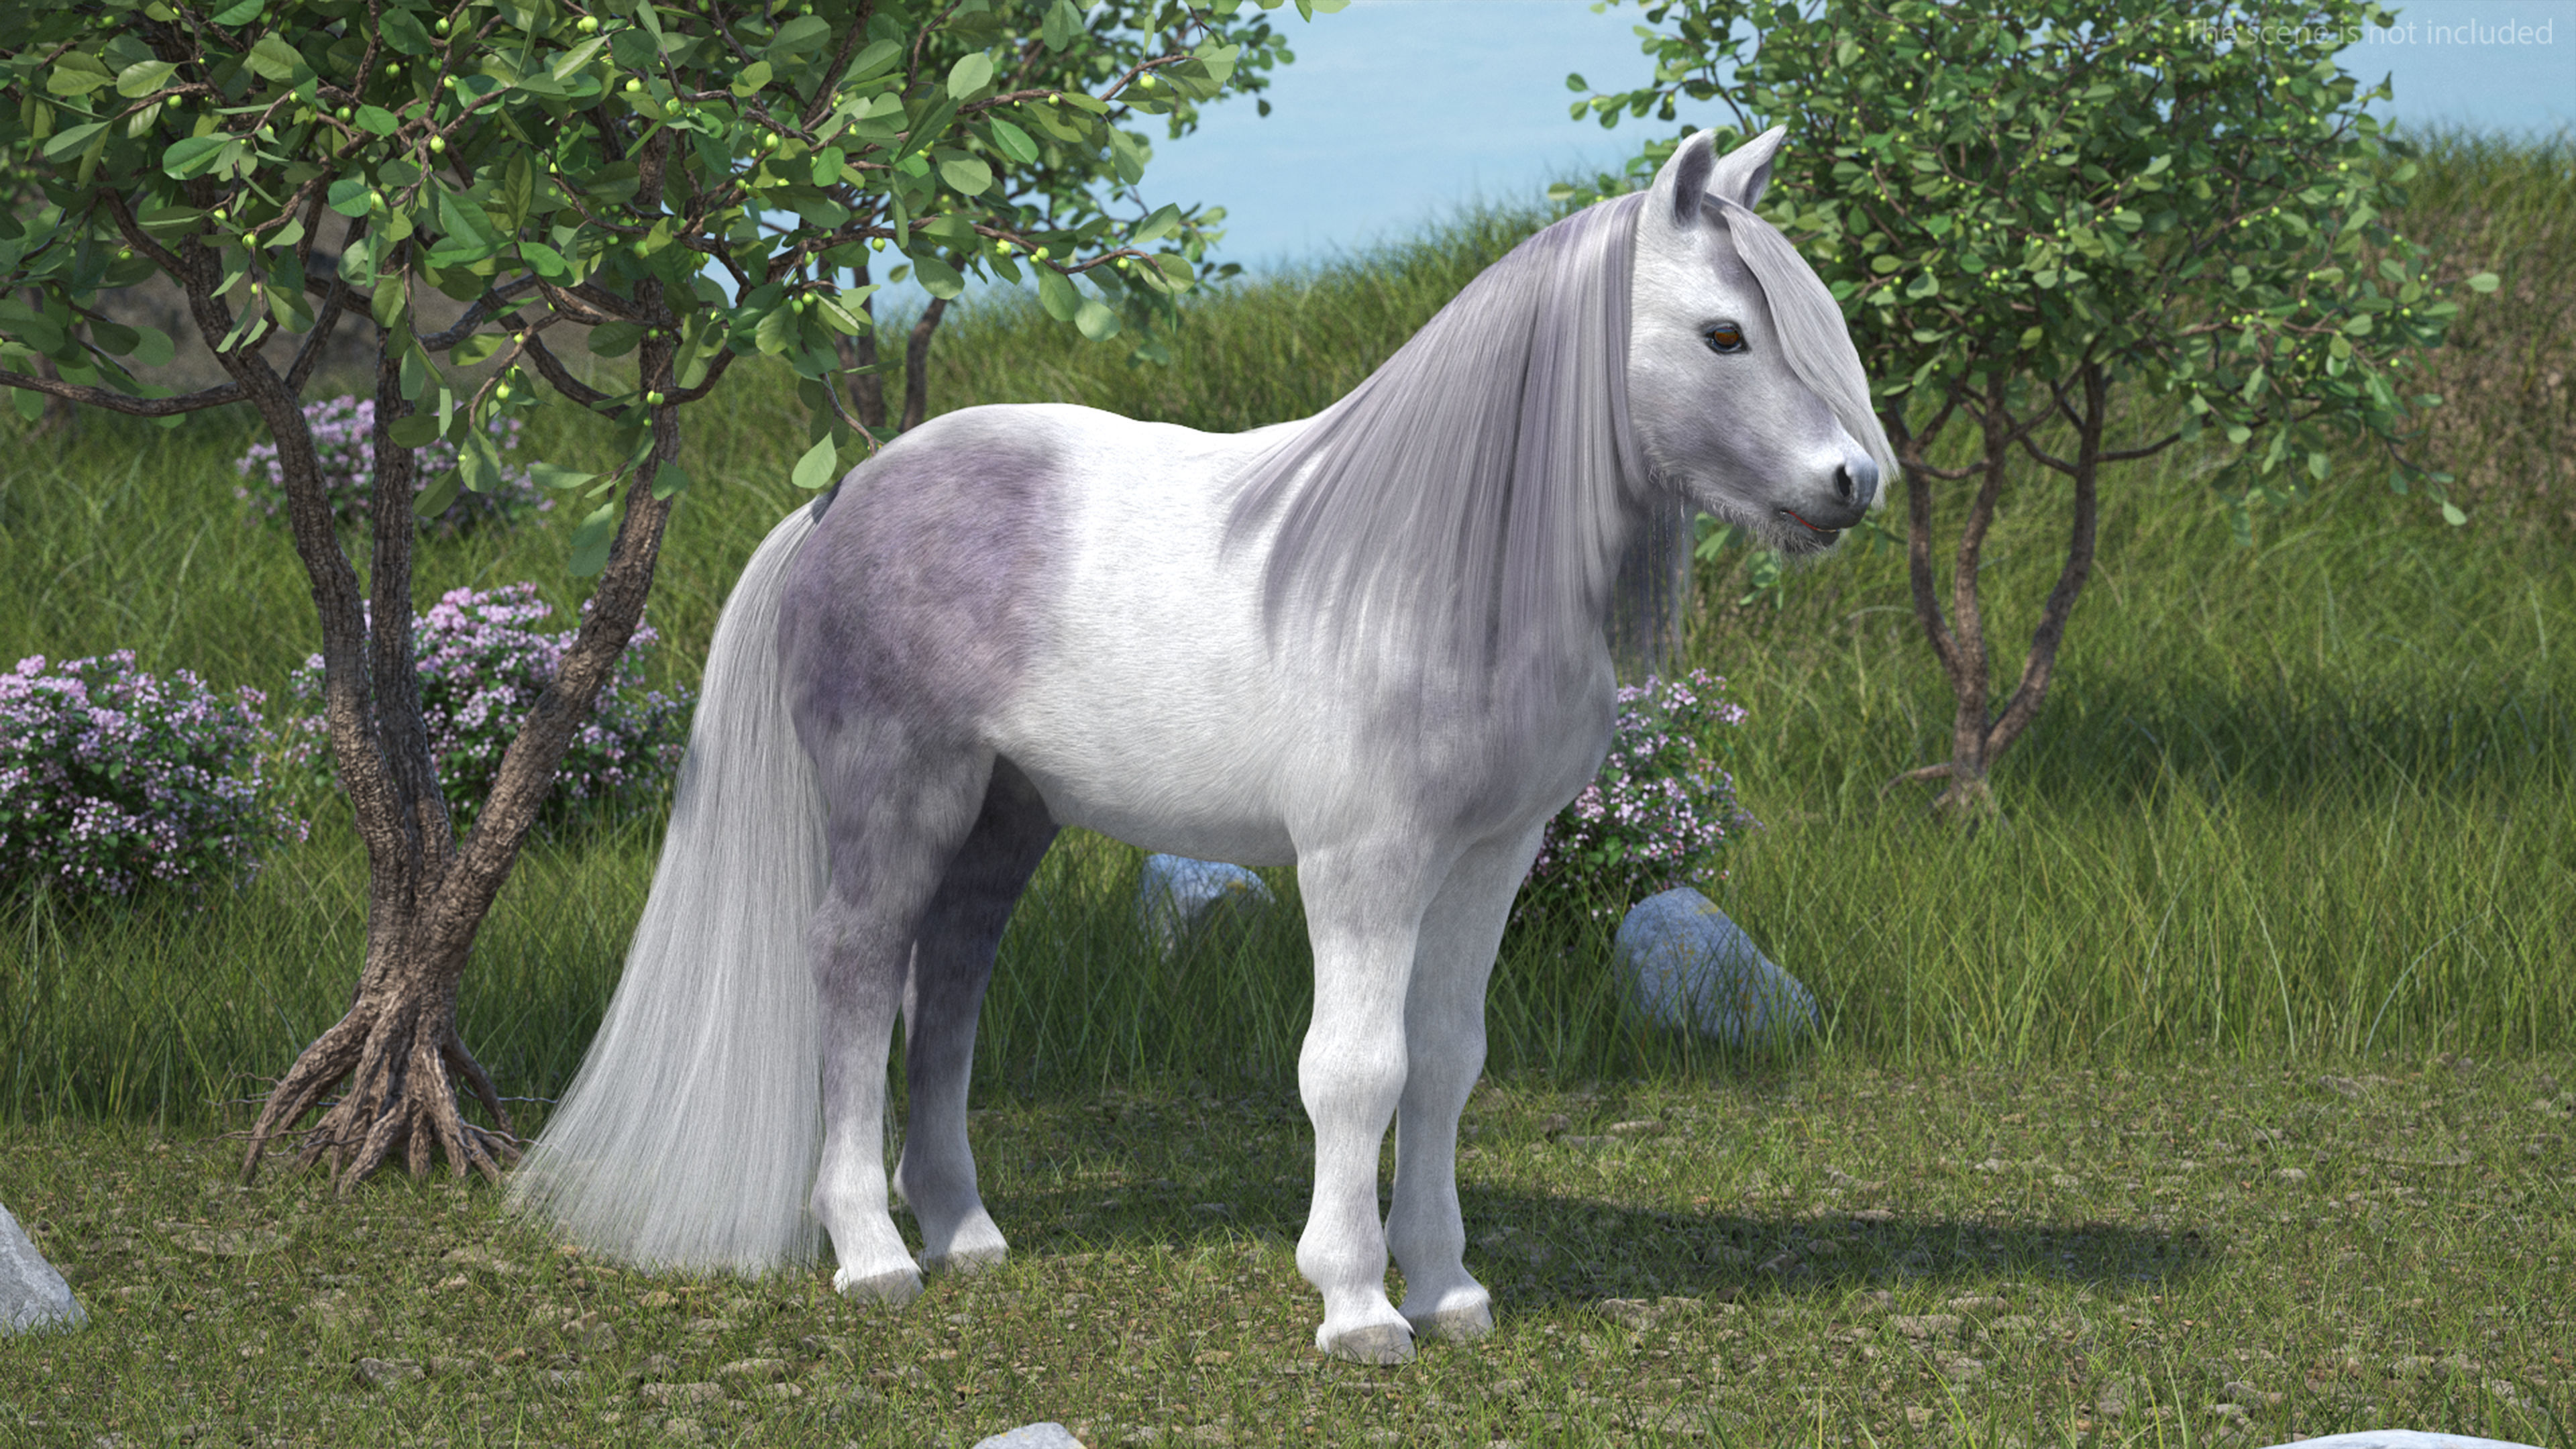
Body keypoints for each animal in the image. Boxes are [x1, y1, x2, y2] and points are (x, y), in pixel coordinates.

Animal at [509, 126, 1894, 1364]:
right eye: (1724, 333)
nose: (1853, 485)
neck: (1439, 567)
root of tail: (839, 502)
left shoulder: (1489, 858)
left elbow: (1446, 1063)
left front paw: (1450, 1293)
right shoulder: (1363, 864)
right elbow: (1356, 1070)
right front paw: (1358, 1309)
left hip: (1008, 816)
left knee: (946, 982)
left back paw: (964, 1232)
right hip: (899, 797)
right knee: (853, 971)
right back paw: (872, 1256)